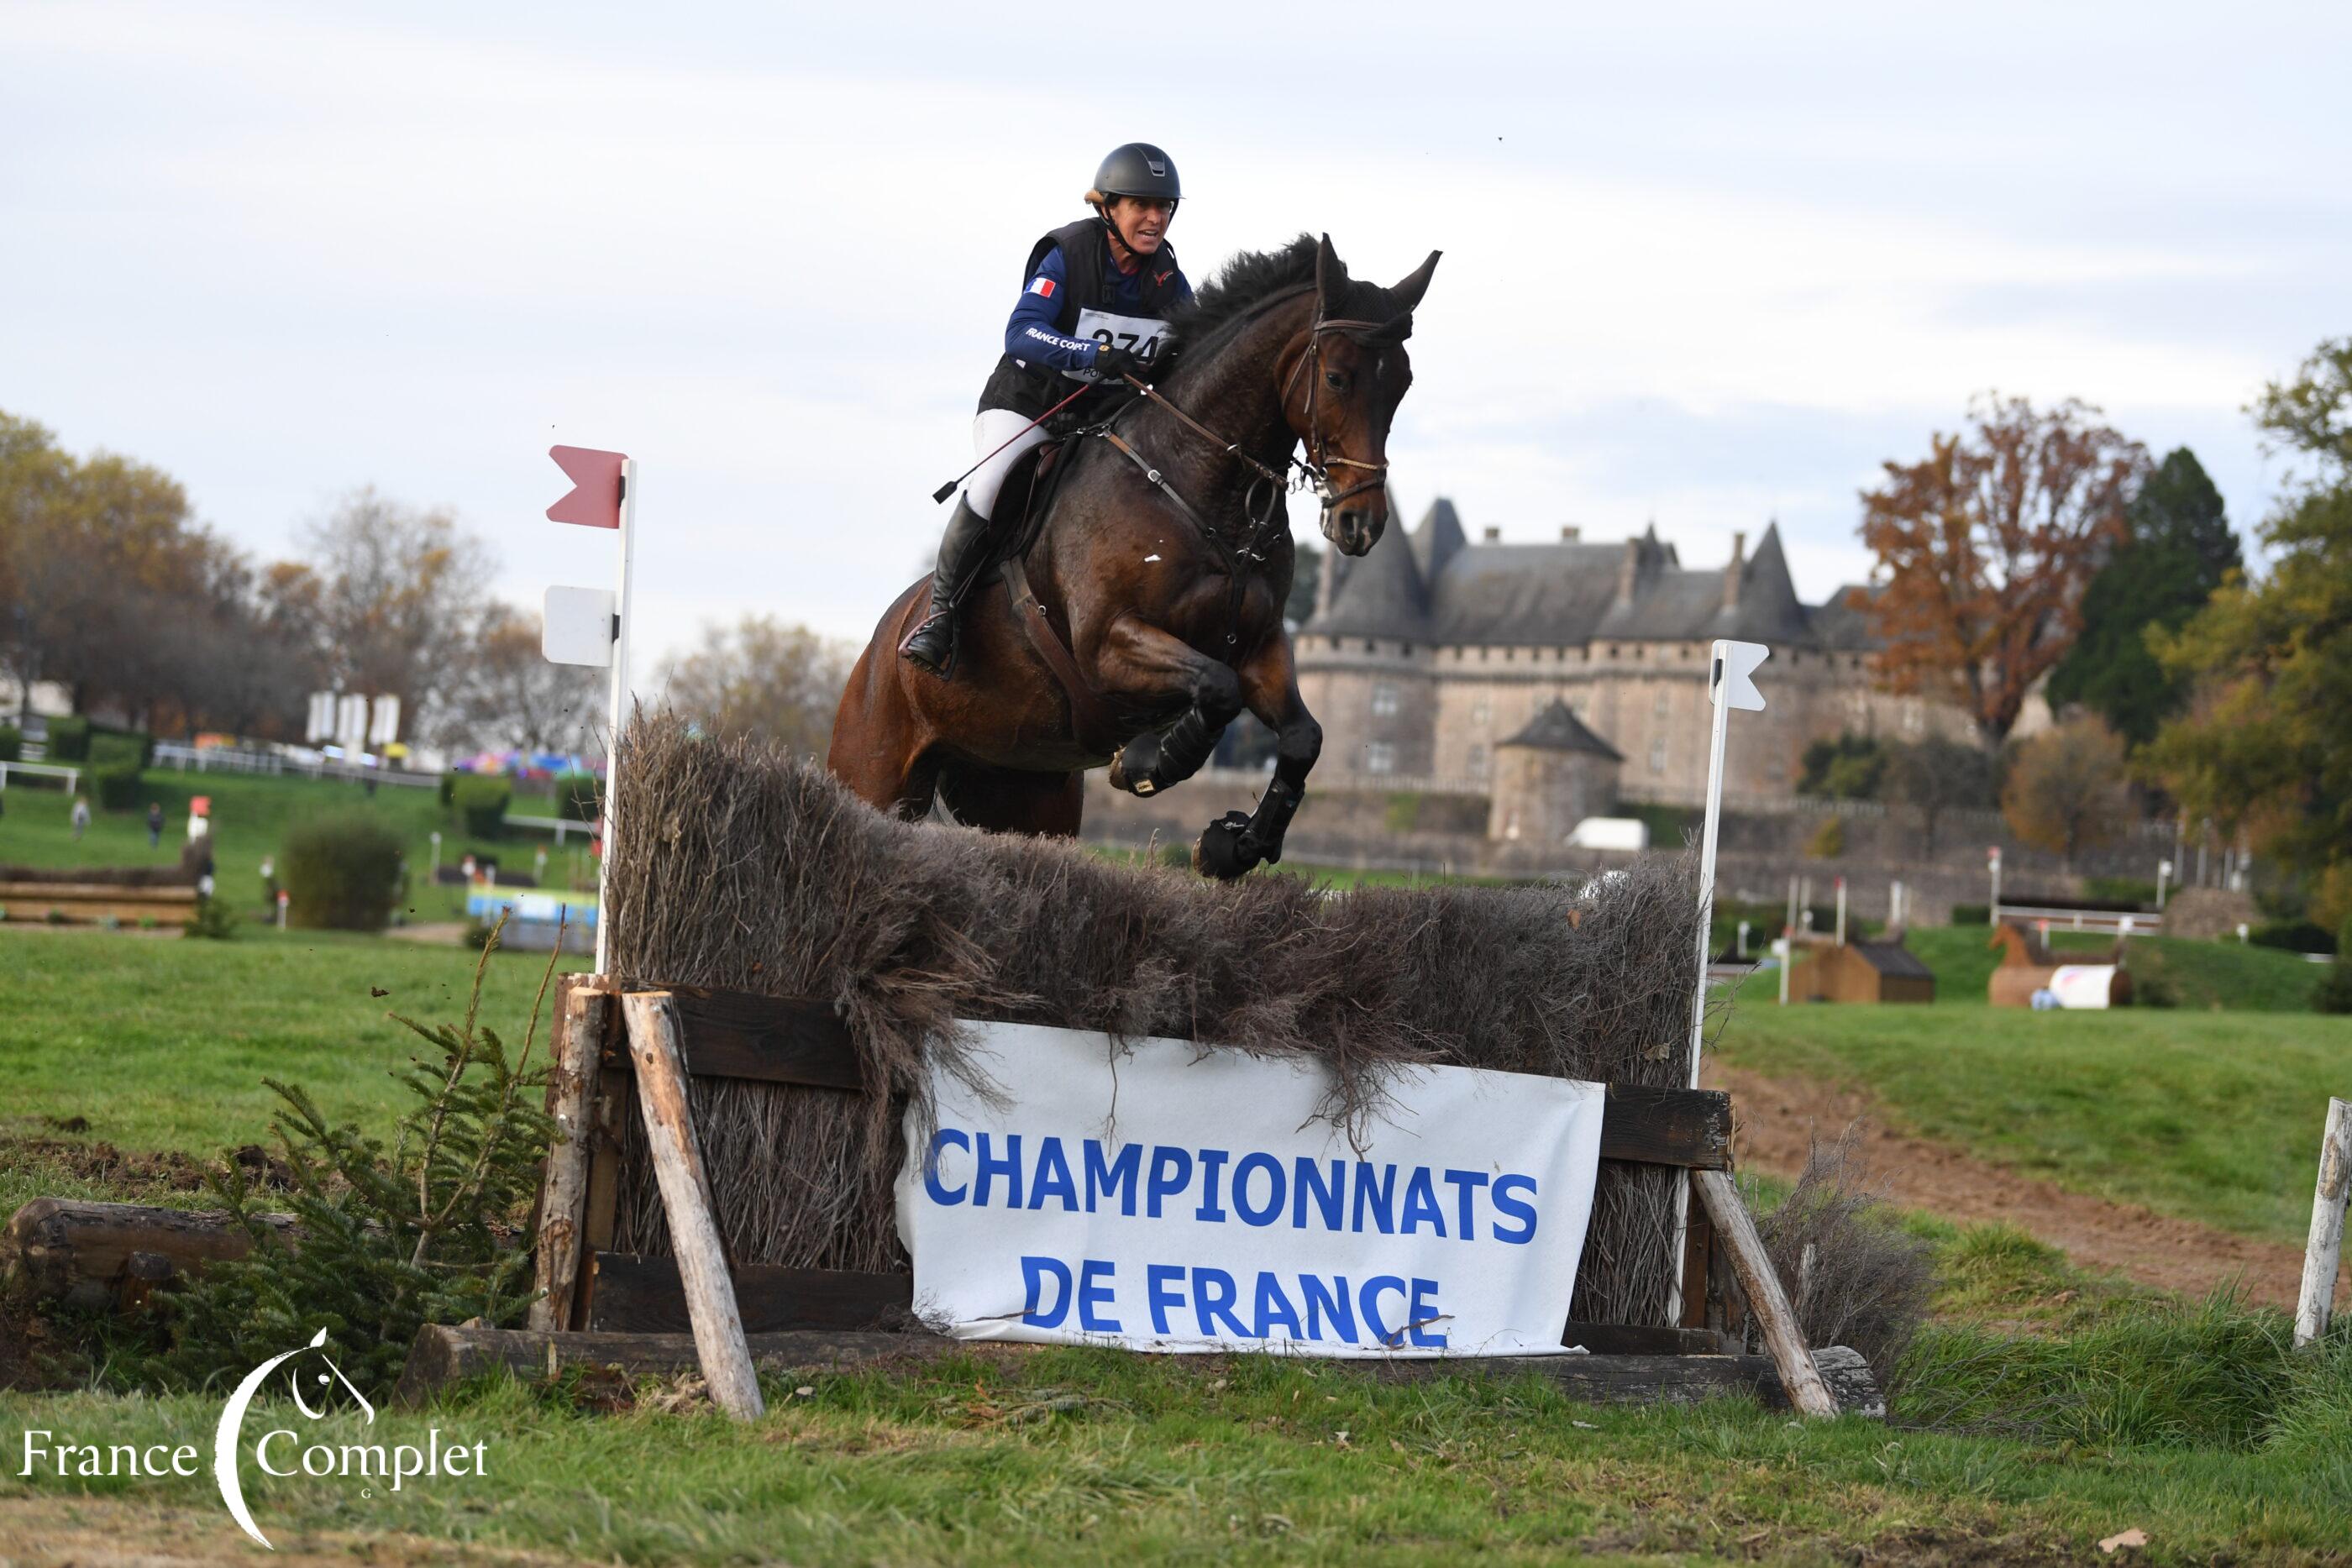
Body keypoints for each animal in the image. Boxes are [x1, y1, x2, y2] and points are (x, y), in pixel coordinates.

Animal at [827, 234, 1439, 878]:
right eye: (1339, 378)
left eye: (1402, 384)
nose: (1361, 523)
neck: (1202, 482)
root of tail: (882, 640)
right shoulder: (1108, 643)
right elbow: (1217, 688)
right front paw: (1149, 763)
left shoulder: (1261, 646)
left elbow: (1301, 737)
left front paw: (1232, 845)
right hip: (873, 770)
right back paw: (932, 636)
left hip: (1024, 793)